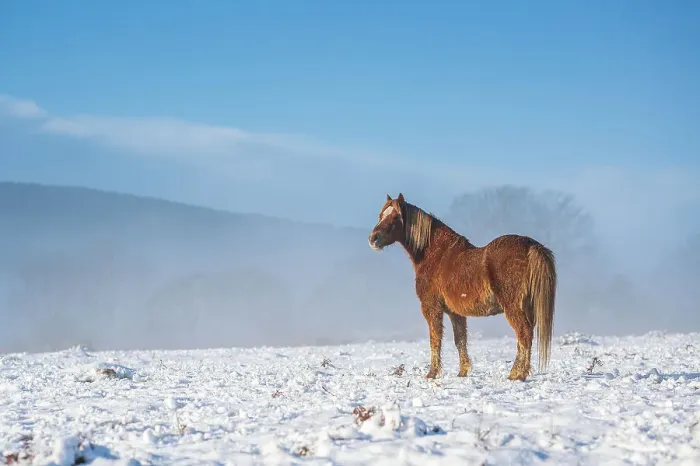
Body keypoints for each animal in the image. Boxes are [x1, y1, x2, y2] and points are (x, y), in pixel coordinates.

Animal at [368, 193, 557, 381]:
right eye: (380, 216)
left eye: (395, 217)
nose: (373, 238)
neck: (436, 255)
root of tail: (531, 245)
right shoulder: (455, 313)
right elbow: (460, 340)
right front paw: (462, 372)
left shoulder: (431, 308)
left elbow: (435, 339)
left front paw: (432, 373)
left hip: (512, 306)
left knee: (523, 334)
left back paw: (517, 374)